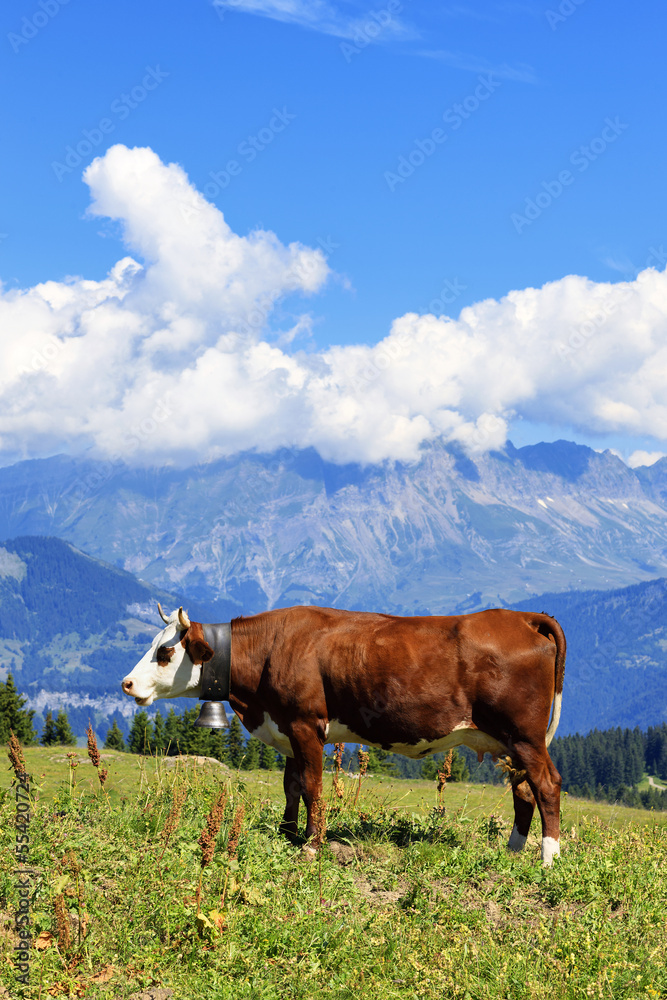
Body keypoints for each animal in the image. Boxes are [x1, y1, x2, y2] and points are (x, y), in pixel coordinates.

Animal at [122, 604, 568, 864]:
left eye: (165, 652)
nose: (126, 684)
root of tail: (520, 617)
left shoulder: (306, 725)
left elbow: (313, 786)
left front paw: (312, 844)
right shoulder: (287, 728)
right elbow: (292, 786)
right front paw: (287, 834)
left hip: (524, 735)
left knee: (546, 784)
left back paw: (548, 857)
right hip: (506, 741)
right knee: (523, 789)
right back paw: (512, 851)